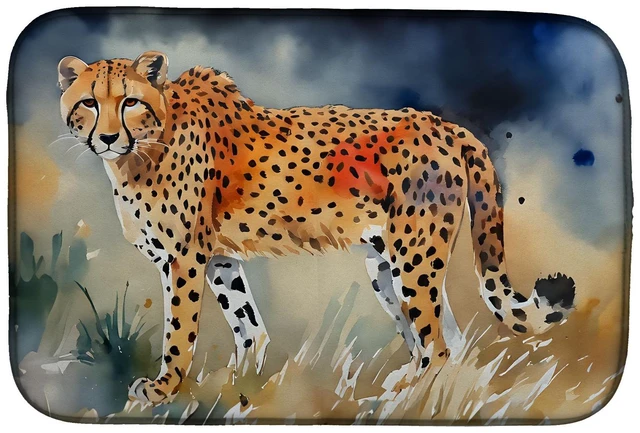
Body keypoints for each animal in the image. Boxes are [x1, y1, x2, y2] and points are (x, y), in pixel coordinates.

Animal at [57, 51, 576, 405]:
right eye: (88, 102)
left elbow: (180, 330)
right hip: (385, 266)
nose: (106, 137)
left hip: (415, 258)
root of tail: (443, 123)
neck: (141, 150)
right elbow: (248, 325)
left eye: (129, 101)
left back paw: (402, 394)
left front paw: (165, 388)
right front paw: (239, 382)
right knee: (449, 339)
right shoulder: (219, 258)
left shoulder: (183, 258)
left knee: (437, 342)